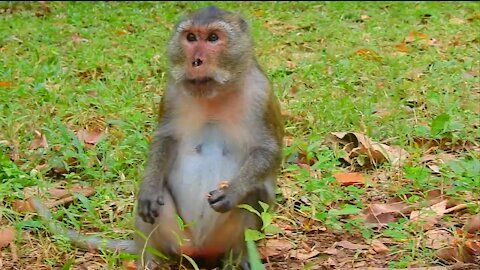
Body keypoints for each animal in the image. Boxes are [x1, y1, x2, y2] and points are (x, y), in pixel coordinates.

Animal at [30, 6, 284, 270]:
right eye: (191, 37)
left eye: (213, 38)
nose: (196, 61)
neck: (215, 95)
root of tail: (199, 250)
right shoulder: (172, 91)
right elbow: (165, 139)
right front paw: (150, 187)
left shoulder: (261, 92)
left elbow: (269, 150)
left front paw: (234, 191)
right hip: (177, 236)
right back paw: (147, 258)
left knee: (254, 196)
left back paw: (239, 259)